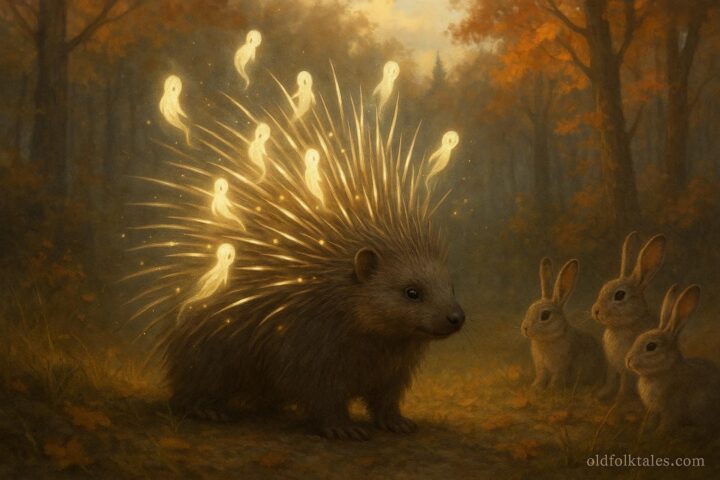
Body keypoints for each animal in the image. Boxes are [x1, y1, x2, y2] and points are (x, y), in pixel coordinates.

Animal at [522, 257, 605, 390]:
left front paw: (552, 389)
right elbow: (541, 377)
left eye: (545, 315)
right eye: (529, 309)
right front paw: (535, 387)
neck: (548, 339)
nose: (525, 328)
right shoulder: (541, 367)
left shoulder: (561, 367)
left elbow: (557, 378)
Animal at [592, 232, 666, 402]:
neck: (621, 327)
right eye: (603, 287)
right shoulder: (612, 366)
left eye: (619, 295)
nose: (596, 311)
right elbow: (611, 380)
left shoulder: (627, 368)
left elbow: (624, 384)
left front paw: (619, 400)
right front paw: (601, 395)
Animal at [626, 284, 720, 435]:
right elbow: (652, 419)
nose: (628, 361)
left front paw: (659, 434)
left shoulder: (672, 408)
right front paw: (646, 429)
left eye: (651, 346)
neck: (661, 372)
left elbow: (667, 422)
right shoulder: (653, 410)